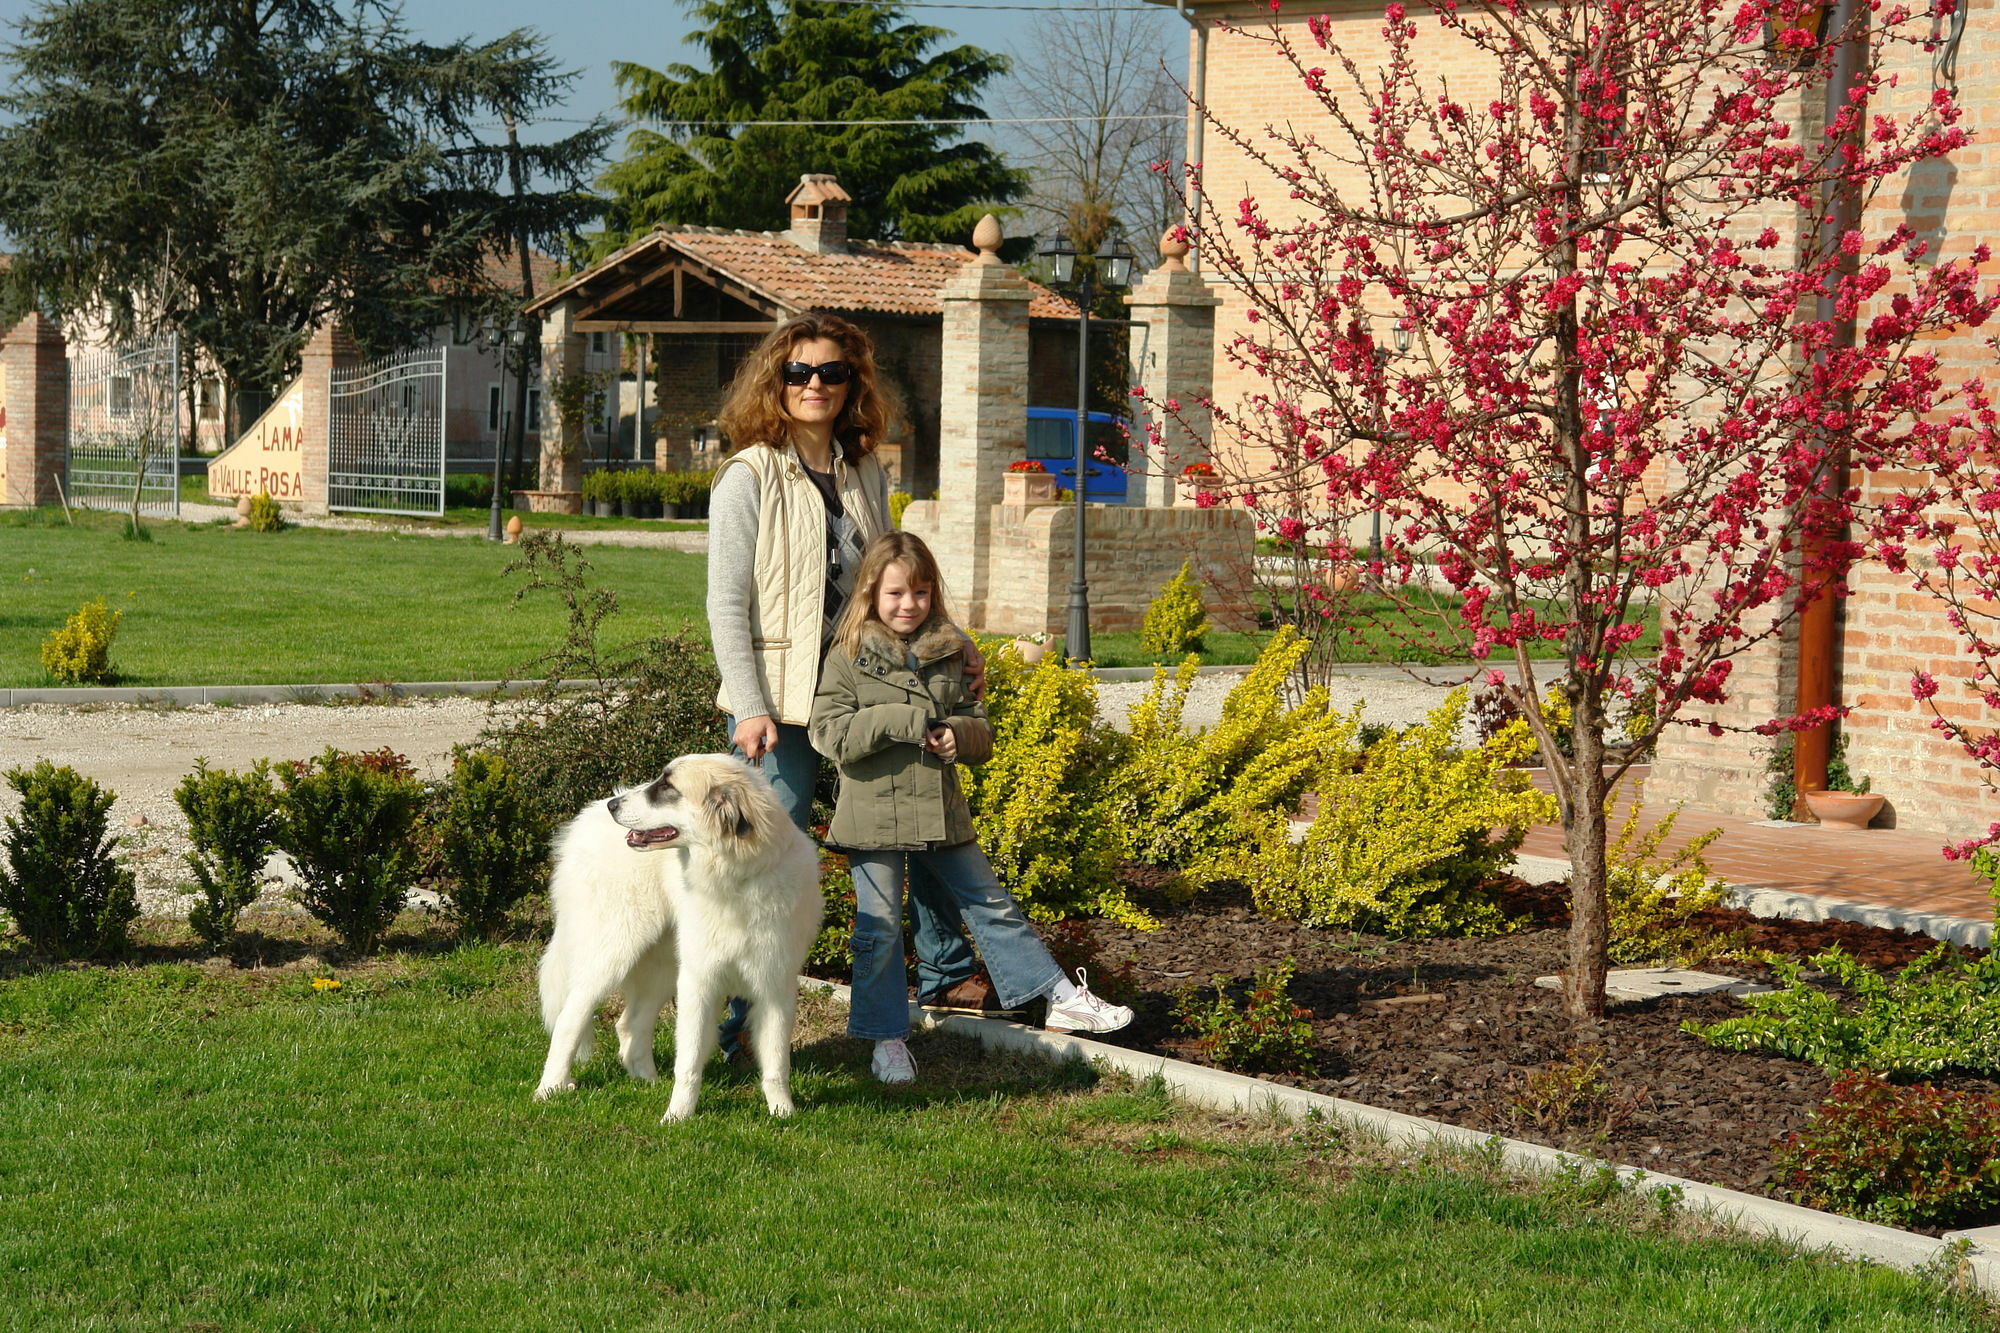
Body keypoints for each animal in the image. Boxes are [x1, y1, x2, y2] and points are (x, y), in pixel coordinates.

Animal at [536, 752, 824, 1112]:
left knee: (628, 1024)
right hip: (612, 953)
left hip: (663, 965)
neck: (736, 879)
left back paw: (647, 1080)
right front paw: (678, 1116)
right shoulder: (699, 982)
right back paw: (551, 1087)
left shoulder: (775, 986)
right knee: (569, 1018)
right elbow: (688, 1063)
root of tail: (584, 820)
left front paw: (783, 1112)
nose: (614, 805)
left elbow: (775, 1063)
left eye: (668, 788)